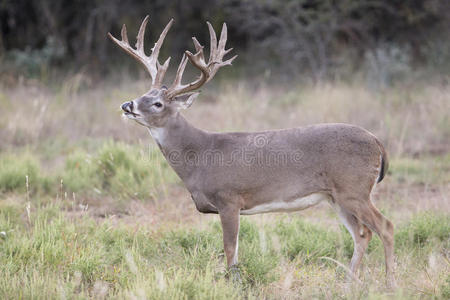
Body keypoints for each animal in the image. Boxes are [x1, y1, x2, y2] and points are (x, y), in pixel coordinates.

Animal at [109, 15, 398, 288]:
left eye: (158, 103)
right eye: (144, 93)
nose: (126, 105)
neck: (200, 157)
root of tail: (377, 142)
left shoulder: (229, 198)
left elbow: (230, 250)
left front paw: (234, 284)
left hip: (354, 188)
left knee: (385, 226)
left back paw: (389, 283)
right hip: (335, 196)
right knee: (362, 234)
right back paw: (349, 283)